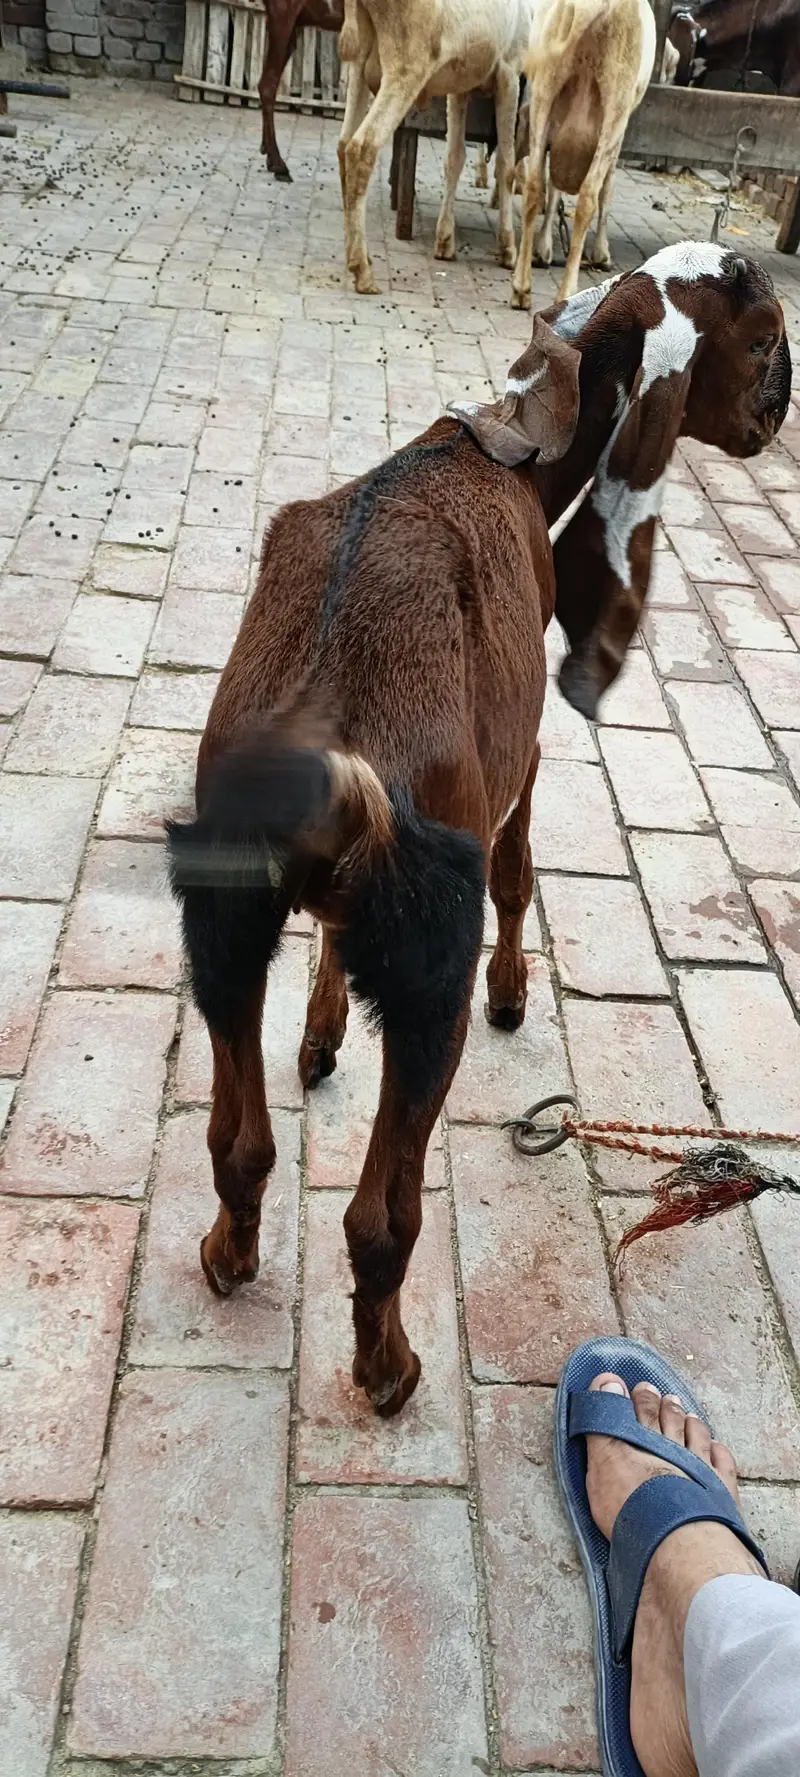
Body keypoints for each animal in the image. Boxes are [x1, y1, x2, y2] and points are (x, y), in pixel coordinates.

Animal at [168, 245, 790, 1417]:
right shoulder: (524, 753)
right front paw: (513, 991)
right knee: (379, 1217)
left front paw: (320, 1034)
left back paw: (230, 1254)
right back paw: (388, 1368)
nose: (776, 418)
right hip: (426, 982)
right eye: (767, 339)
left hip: (221, 926)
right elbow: (517, 871)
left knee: (237, 1141)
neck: (511, 450)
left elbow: (328, 950)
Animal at [337, 0, 534, 293]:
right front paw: (508, 248)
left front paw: (445, 242)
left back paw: (357, 254)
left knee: (343, 144)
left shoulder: (461, 83)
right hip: (406, 68)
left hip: (358, 64)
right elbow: (506, 164)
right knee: (362, 147)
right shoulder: (510, 71)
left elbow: (455, 157)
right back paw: (362, 270)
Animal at [511, 0, 656, 309]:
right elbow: (607, 188)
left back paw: (521, 288)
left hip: (545, 91)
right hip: (616, 103)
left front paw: (544, 247)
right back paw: (567, 291)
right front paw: (602, 252)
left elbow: (552, 187)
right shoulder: (618, 134)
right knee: (589, 194)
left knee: (534, 186)